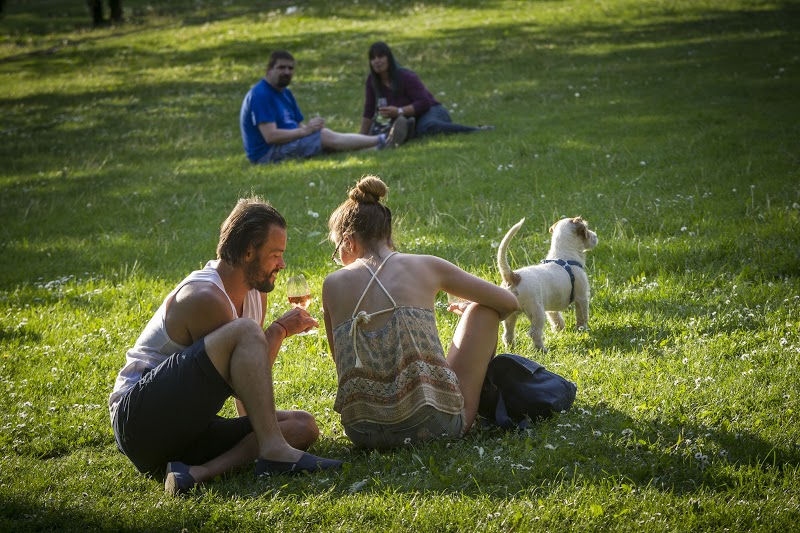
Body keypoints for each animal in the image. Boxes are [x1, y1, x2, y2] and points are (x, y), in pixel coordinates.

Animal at [496, 215, 596, 350]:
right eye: (587, 230)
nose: (595, 236)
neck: (564, 256)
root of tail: (514, 277)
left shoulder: (551, 306)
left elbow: (555, 318)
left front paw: (559, 329)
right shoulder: (582, 298)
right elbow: (582, 316)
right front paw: (582, 330)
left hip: (510, 315)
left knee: (507, 334)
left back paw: (511, 348)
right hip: (537, 312)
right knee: (534, 332)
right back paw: (542, 349)